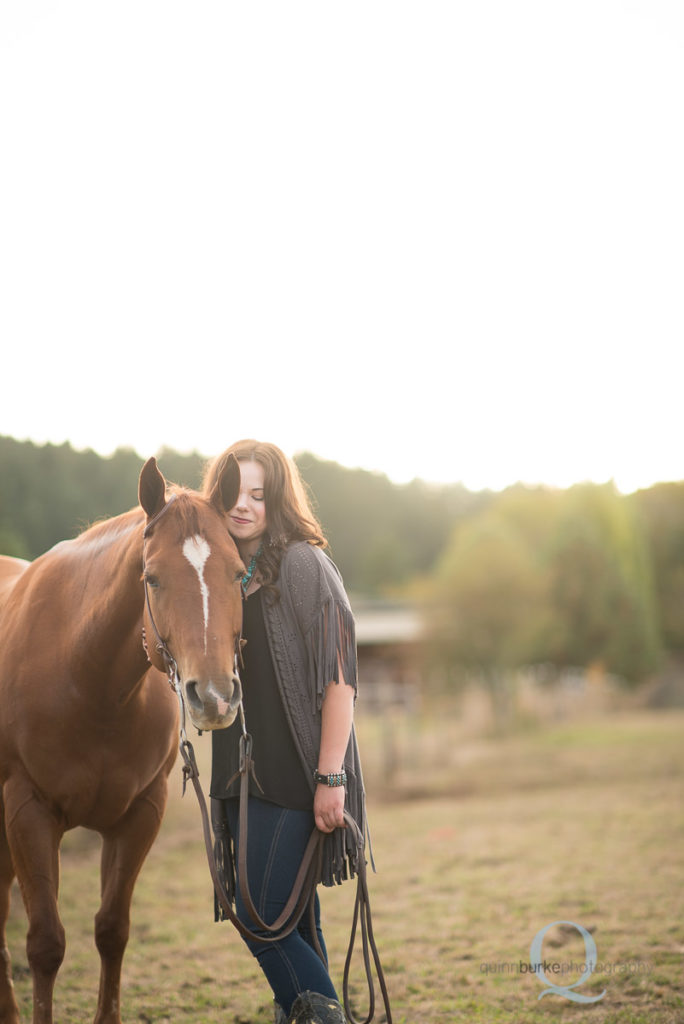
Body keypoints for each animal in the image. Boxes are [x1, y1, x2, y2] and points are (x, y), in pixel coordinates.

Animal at [0, 458, 244, 1024]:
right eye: (151, 578)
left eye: (240, 573)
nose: (215, 697)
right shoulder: (27, 810)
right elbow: (45, 944)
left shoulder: (139, 814)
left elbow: (112, 930)